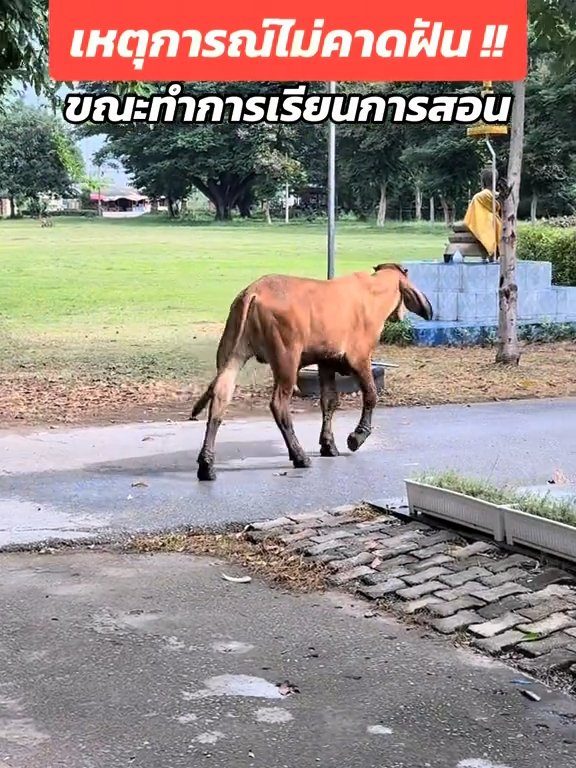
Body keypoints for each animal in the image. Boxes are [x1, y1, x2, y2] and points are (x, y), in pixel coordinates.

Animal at [190, 264, 432, 480]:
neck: (372, 294)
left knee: (220, 397)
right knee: (278, 405)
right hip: (286, 359)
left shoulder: (326, 362)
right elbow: (371, 395)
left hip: (233, 353)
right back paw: (299, 456)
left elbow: (330, 401)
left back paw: (206, 464)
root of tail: (253, 292)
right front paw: (357, 436)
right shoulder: (360, 358)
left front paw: (328, 444)